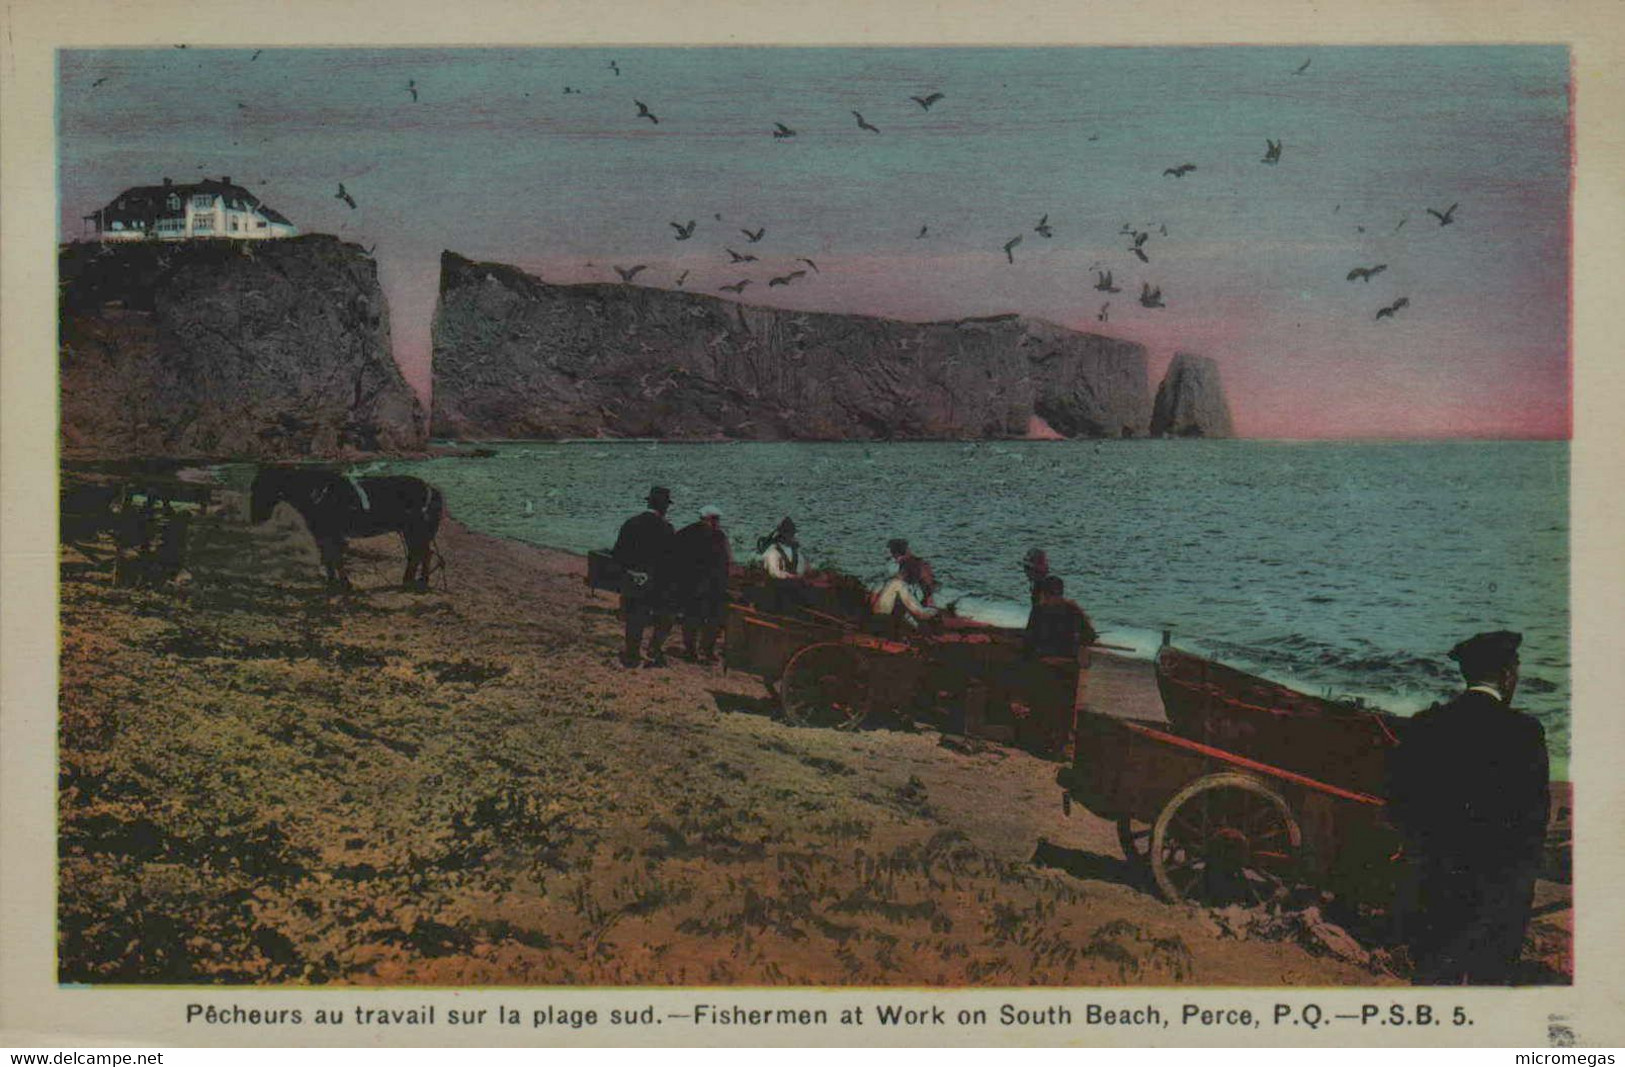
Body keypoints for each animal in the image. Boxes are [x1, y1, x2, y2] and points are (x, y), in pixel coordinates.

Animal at [247, 467, 442, 591]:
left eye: (262, 487)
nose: (255, 518)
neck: (316, 493)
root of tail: (431, 489)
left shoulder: (332, 535)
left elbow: (335, 558)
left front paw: (344, 584)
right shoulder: (323, 535)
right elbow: (328, 558)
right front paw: (332, 582)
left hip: (416, 530)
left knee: (422, 554)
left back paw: (419, 581)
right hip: (411, 531)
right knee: (420, 554)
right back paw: (412, 580)